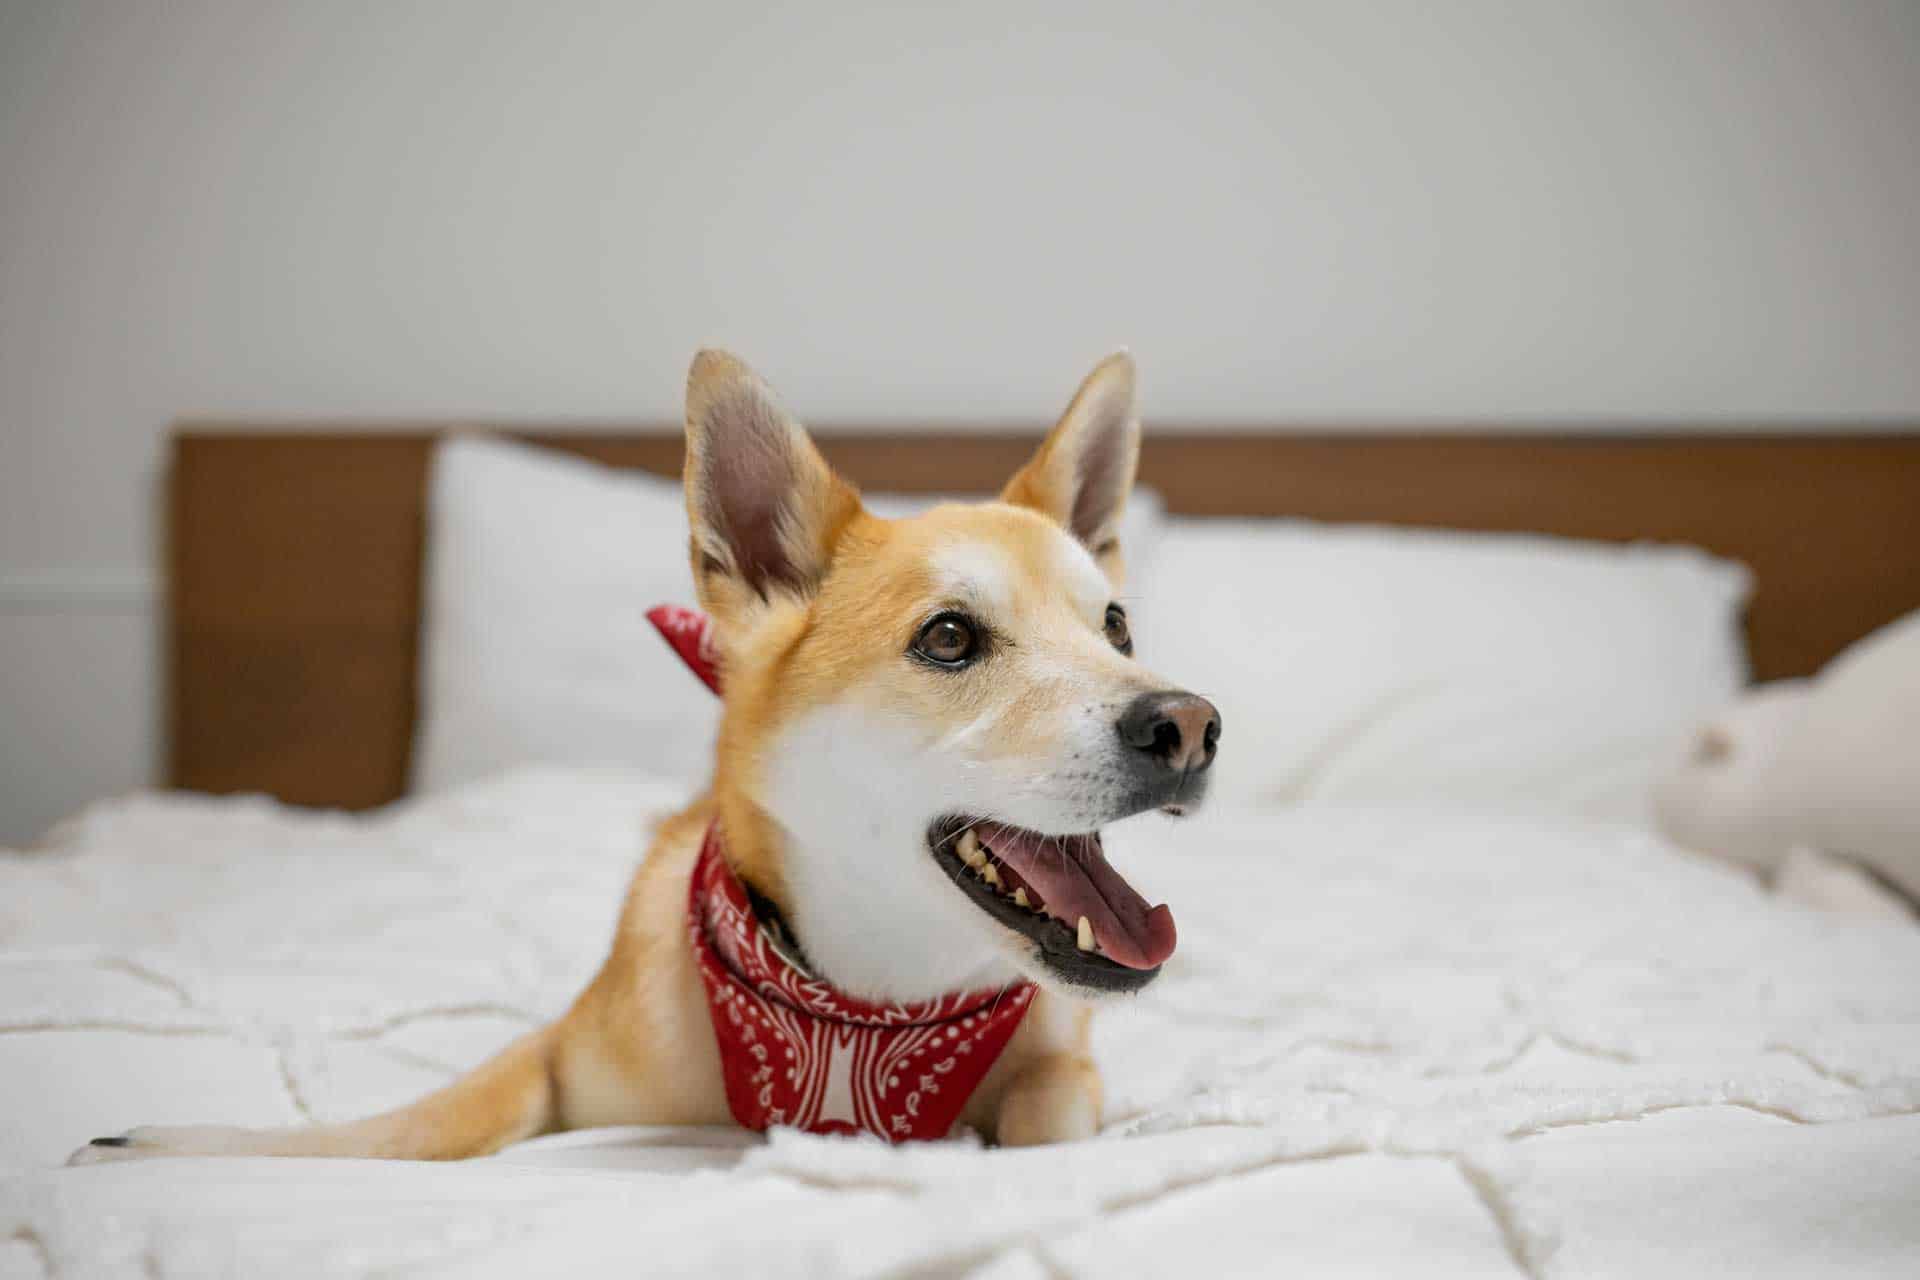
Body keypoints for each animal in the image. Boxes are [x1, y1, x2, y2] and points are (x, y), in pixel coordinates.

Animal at [74, 351, 1221, 1159]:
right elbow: (412, 1125)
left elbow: (1049, 1111)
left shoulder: (1065, 1058)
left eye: (1117, 627)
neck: (860, 1016)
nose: (1191, 725)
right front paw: (181, 1144)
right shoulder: (552, 1056)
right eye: (948, 638)